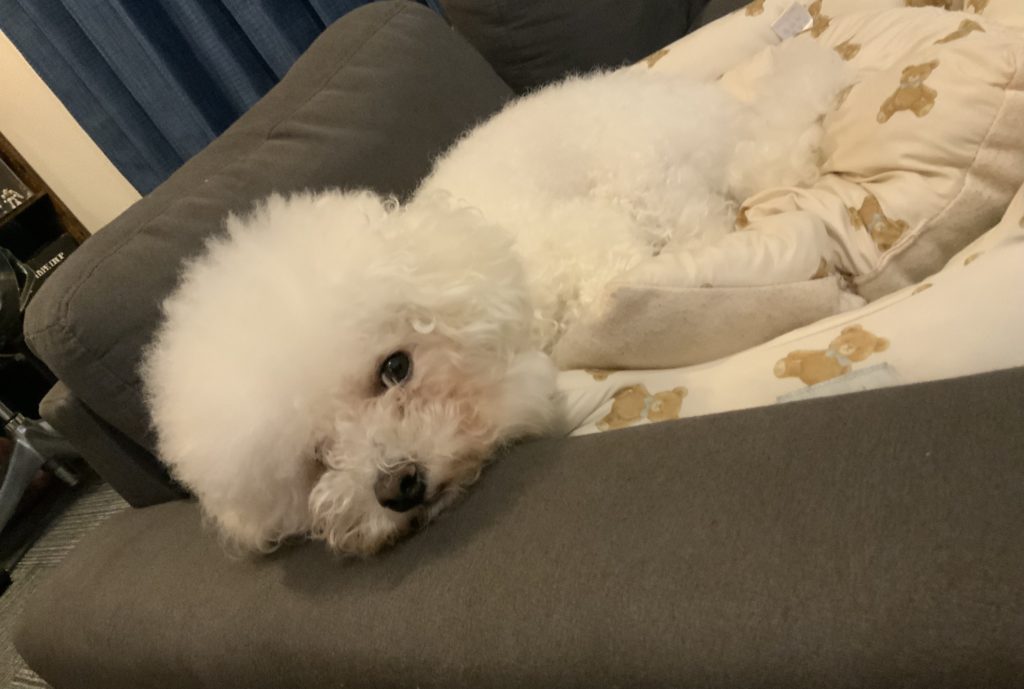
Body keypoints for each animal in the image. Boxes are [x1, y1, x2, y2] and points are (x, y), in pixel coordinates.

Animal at [143, 38, 848, 555]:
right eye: (316, 457)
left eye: (394, 367)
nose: (398, 485)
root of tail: (710, 106)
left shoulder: (591, 241)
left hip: (648, 174)